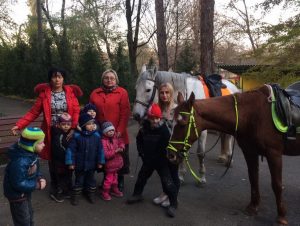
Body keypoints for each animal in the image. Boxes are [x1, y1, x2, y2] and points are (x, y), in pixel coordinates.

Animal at [168, 85, 298, 224]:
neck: (252, 114)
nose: (170, 154)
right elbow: (253, 178)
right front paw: (253, 206)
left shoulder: (274, 153)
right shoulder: (250, 152)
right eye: (171, 123)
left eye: (182, 124)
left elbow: (277, 184)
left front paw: (281, 215)